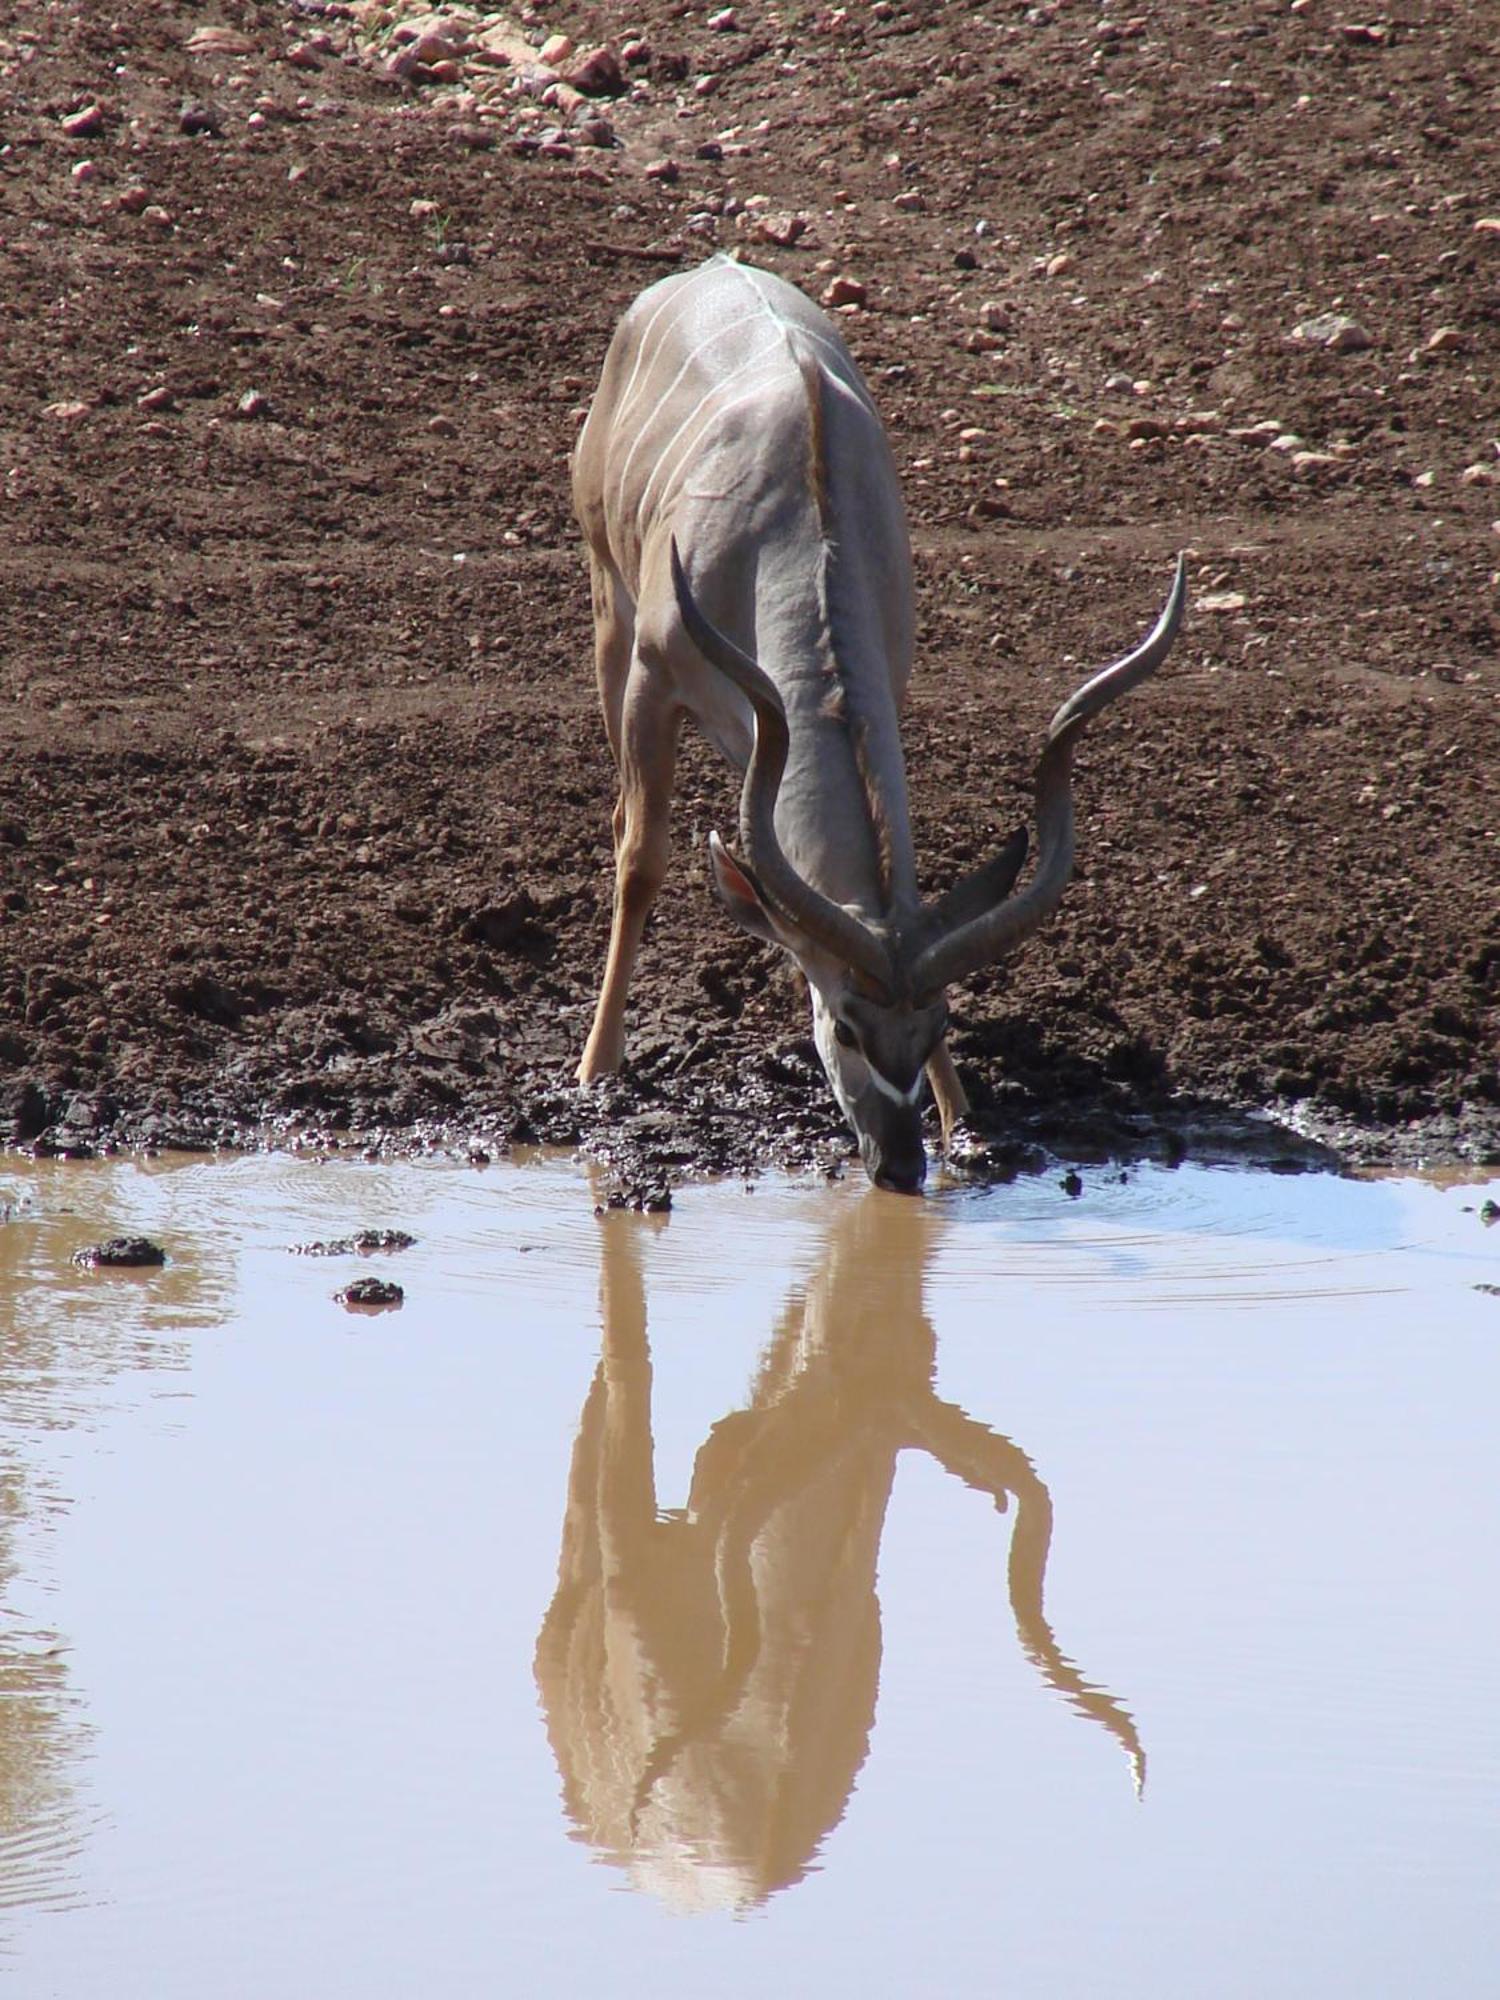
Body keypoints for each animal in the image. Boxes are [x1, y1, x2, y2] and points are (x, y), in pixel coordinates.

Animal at [576, 254, 1184, 1184]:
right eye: (846, 1028)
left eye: (938, 1025)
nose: (899, 1166)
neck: (793, 523)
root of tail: (702, 270)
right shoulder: (655, 676)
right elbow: (642, 859)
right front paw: (594, 1073)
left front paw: (964, 1120)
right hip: (607, 596)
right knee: (622, 825)